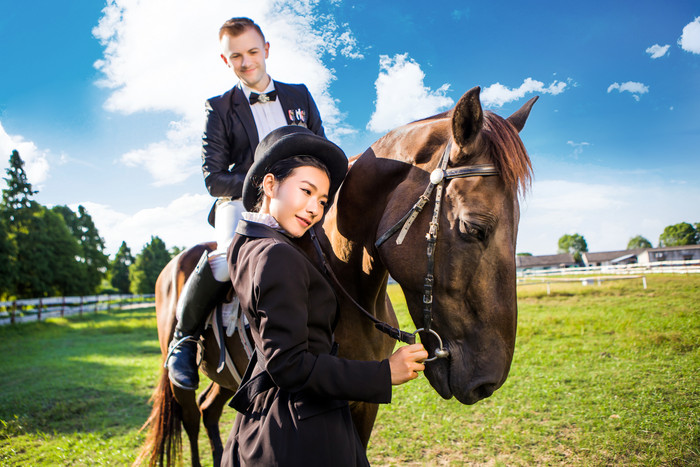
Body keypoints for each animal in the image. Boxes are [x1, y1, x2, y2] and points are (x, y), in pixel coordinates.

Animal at [134, 86, 536, 466]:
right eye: (473, 228)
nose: (488, 383)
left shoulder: (365, 401)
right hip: (182, 379)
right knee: (190, 416)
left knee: (209, 409)